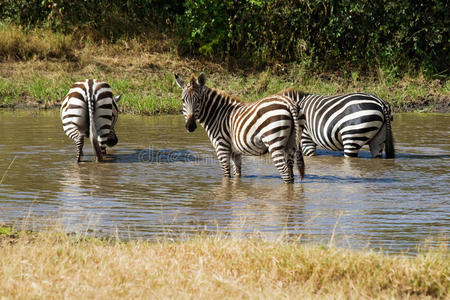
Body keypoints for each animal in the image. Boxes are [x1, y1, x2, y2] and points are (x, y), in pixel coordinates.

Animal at [174, 74, 308, 184]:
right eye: (183, 100)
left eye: (199, 100)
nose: (190, 126)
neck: (217, 115)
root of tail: (288, 102)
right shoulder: (235, 152)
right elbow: (237, 174)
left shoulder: (222, 147)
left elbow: (226, 175)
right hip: (291, 144)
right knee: (290, 173)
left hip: (274, 142)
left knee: (285, 173)